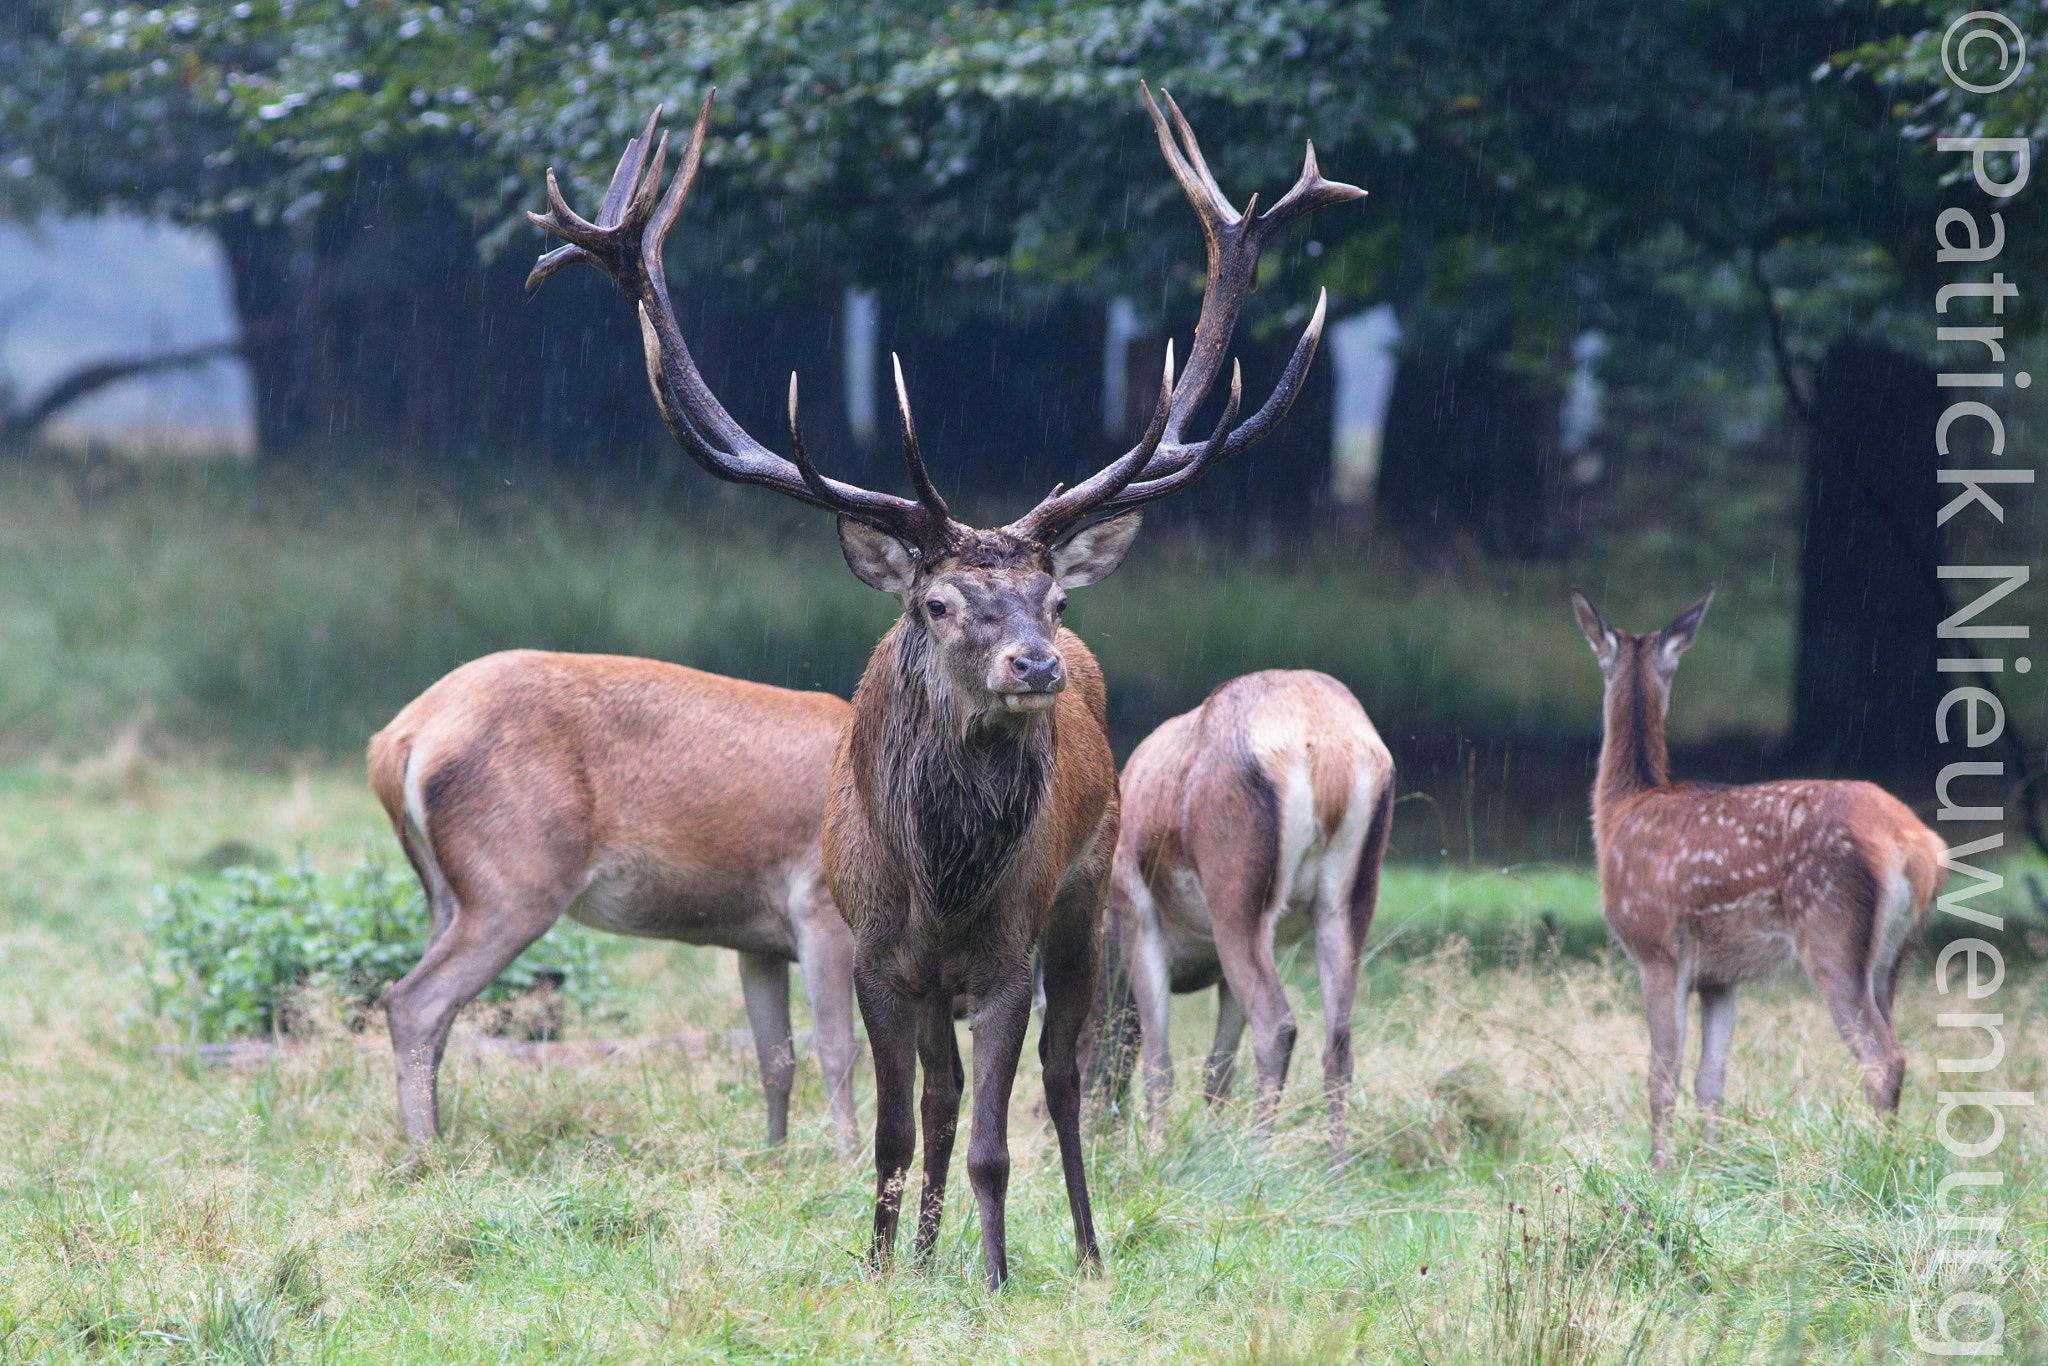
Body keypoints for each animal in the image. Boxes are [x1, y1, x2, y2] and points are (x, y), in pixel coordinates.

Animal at [368, 651, 856, 1155]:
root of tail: (397, 740)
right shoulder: (819, 904)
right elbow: (837, 1048)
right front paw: (847, 1160)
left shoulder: (758, 944)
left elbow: (776, 1060)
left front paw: (774, 1156)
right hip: (515, 883)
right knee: (414, 1001)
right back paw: (426, 1150)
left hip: (444, 892)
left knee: (436, 1012)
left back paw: (432, 1139)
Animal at [528, 90, 1359, 1286]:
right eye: (936, 603)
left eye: (1050, 599)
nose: (1037, 664)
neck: (943, 881)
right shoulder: (877, 956)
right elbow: (896, 1125)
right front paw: (883, 1267)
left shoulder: (1009, 956)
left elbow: (993, 1139)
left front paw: (998, 1274)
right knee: (942, 1088)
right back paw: (924, 1254)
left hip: (1093, 895)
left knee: (1063, 1079)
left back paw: (1084, 1252)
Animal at [1089, 667, 1392, 1163]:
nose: (1094, 1129)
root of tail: (1330, 753)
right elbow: (1217, 1069)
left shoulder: (1137, 910)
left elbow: (1160, 1061)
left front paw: (1155, 1154)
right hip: (1349, 901)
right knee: (1339, 1043)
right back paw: (1335, 1168)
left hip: (1237, 895)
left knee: (1277, 1026)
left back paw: (1256, 1159)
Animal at [1572, 589, 1941, 1163]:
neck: (1620, 815)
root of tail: (1917, 845)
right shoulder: (1719, 976)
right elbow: (1710, 1080)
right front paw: (1714, 1165)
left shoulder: (1656, 950)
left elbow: (1661, 1077)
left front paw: (1659, 1169)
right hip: (1894, 953)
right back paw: (1889, 1151)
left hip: (1829, 927)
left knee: (1885, 1057)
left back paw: (1874, 1159)